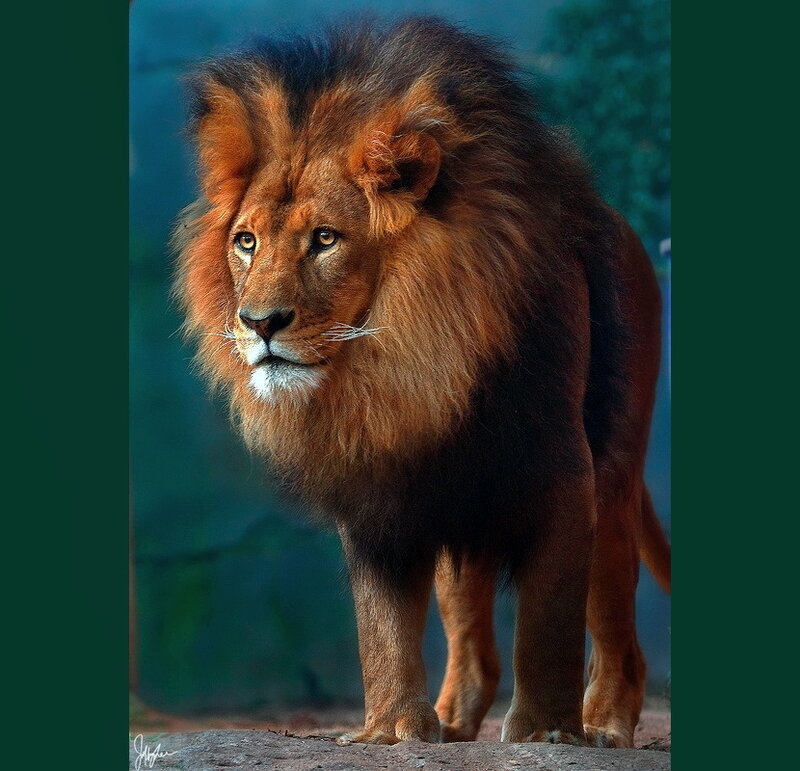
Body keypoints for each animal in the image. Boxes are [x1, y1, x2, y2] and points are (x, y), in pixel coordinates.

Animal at [173, 17, 671, 749]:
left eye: (325, 238)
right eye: (245, 242)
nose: (258, 323)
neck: (411, 368)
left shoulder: (560, 470)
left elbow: (548, 620)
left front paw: (546, 731)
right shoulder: (381, 488)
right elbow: (381, 623)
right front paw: (390, 728)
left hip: (612, 475)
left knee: (618, 633)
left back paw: (604, 725)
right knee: (472, 644)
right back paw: (454, 723)